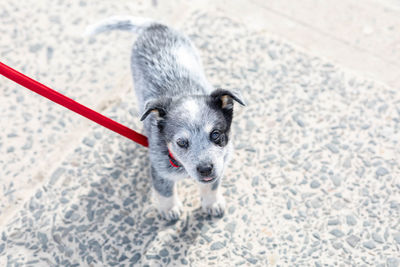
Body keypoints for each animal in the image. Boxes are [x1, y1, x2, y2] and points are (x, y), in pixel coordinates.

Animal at [86, 17, 245, 222]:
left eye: (216, 134)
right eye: (181, 142)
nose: (205, 169)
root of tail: (154, 26)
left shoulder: (220, 164)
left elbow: (211, 186)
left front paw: (212, 203)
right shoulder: (159, 169)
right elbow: (165, 192)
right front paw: (170, 209)